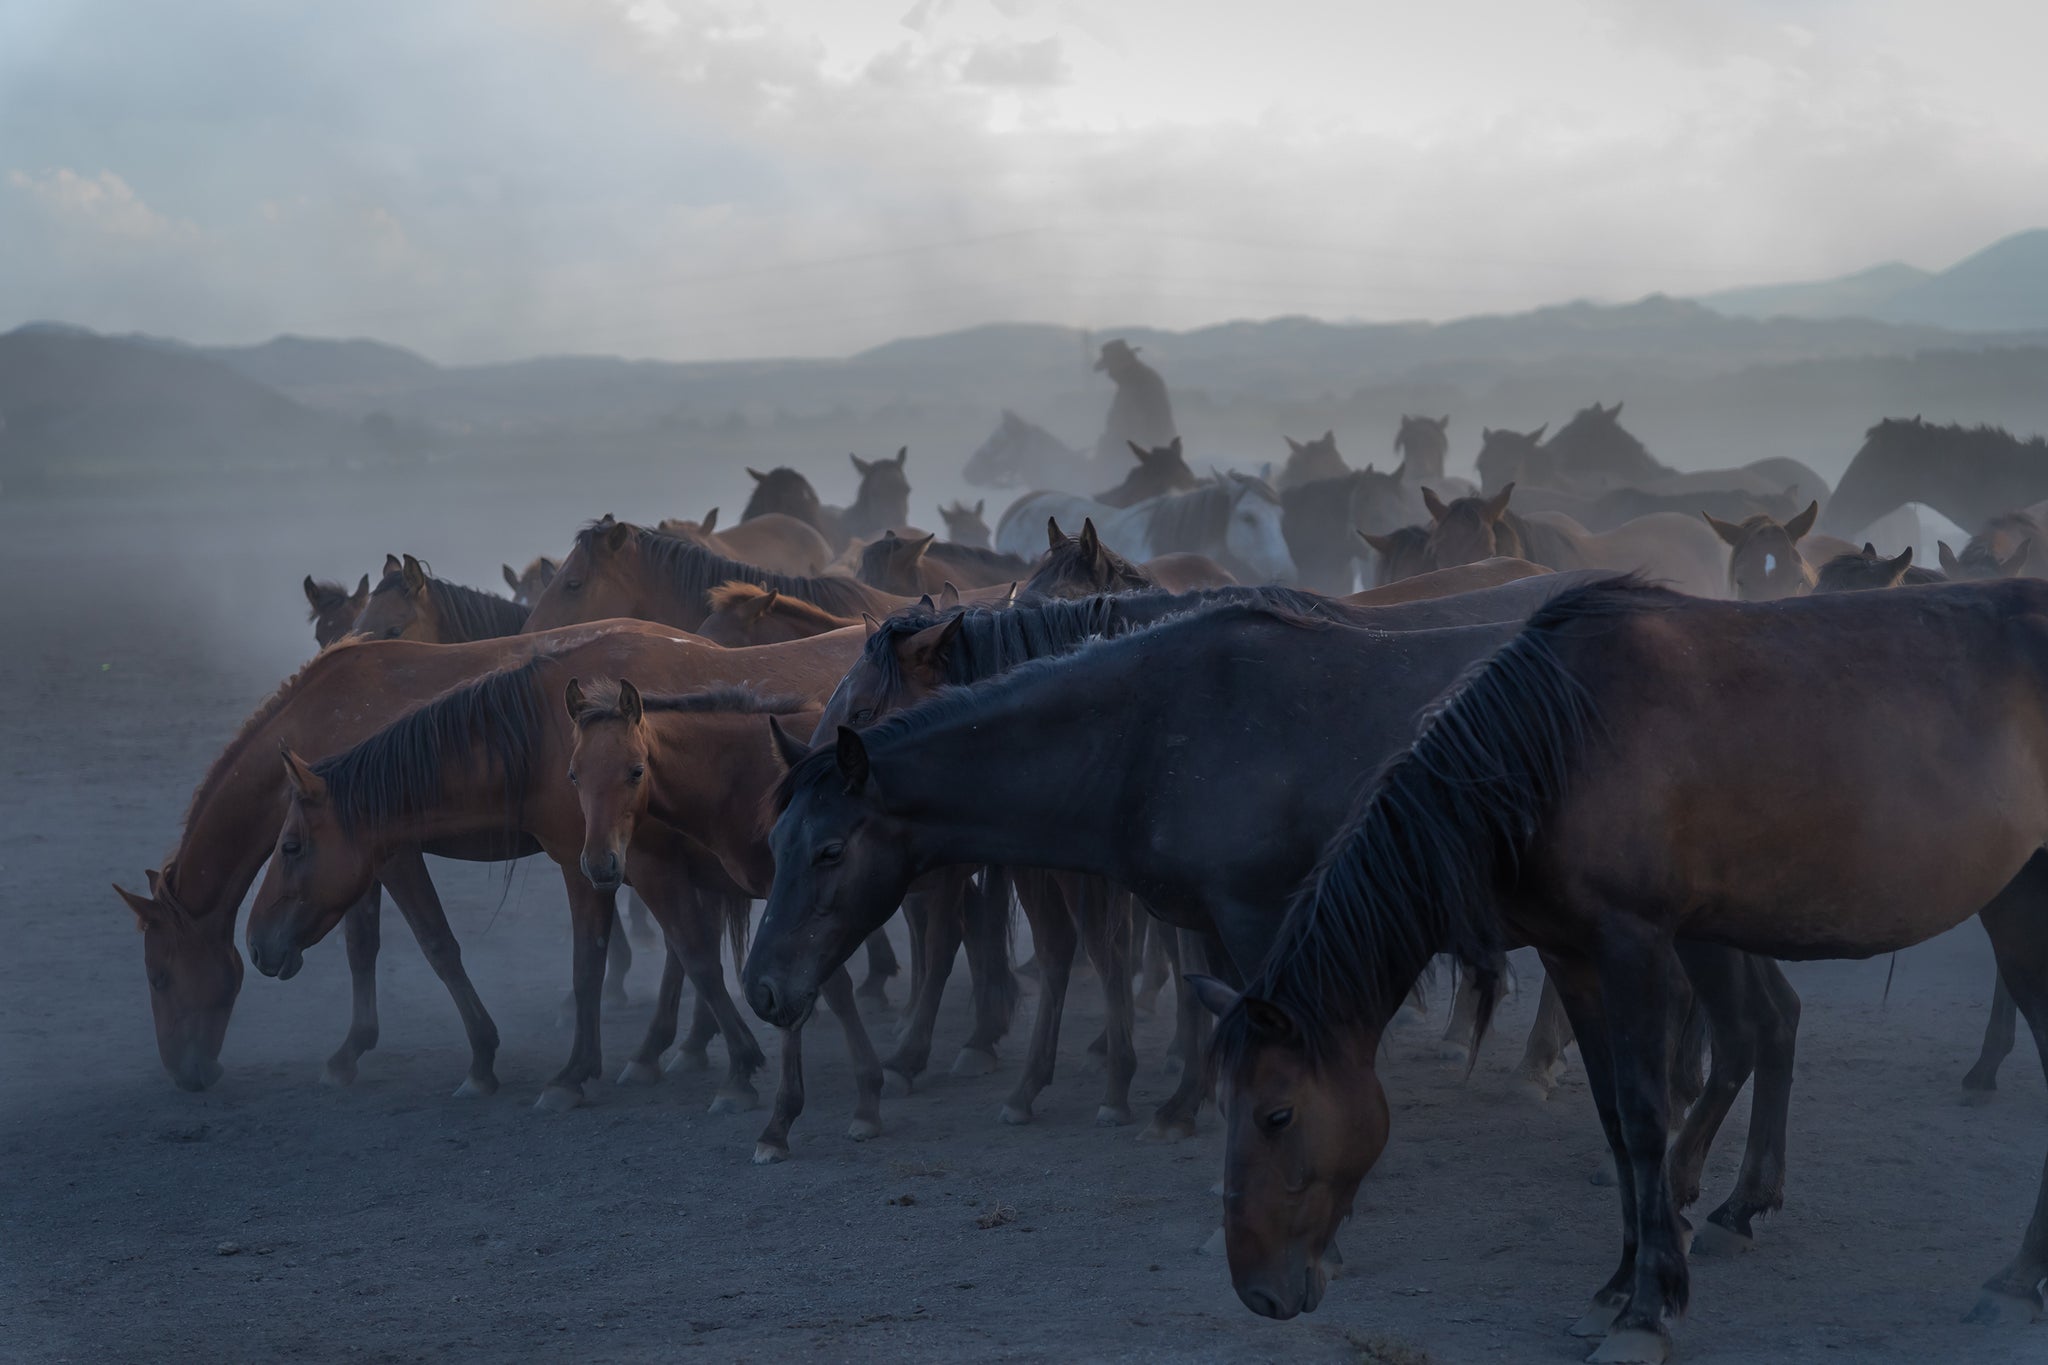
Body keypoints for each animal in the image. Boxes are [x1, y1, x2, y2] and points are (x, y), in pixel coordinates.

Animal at [747, 596, 1800, 1259]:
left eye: (830, 850)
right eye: (777, 839)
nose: (763, 986)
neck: (1151, 731)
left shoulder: (1263, 923)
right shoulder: (1212, 931)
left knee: (1753, 1026)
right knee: (1769, 1021)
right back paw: (1729, 1194)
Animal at [1201, 578, 2048, 1358]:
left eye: (1278, 1114)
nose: (1256, 1290)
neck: (1558, 745)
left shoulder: (1634, 944)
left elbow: (1643, 1119)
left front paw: (1648, 1311)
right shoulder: (1573, 955)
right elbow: (1612, 1119)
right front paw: (1615, 1287)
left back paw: (2013, 1281)